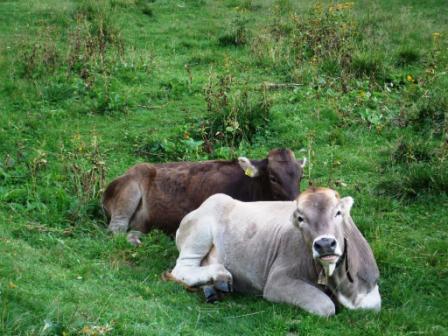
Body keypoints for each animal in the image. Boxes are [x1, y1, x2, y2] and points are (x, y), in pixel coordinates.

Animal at [168, 188, 382, 316]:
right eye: (301, 218)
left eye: (338, 213)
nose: (325, 244)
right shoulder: (278, 281)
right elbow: (325, 306)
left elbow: (372, 305)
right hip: (199, 232)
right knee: (181, 269)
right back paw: (219, 275)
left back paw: (213, 287)